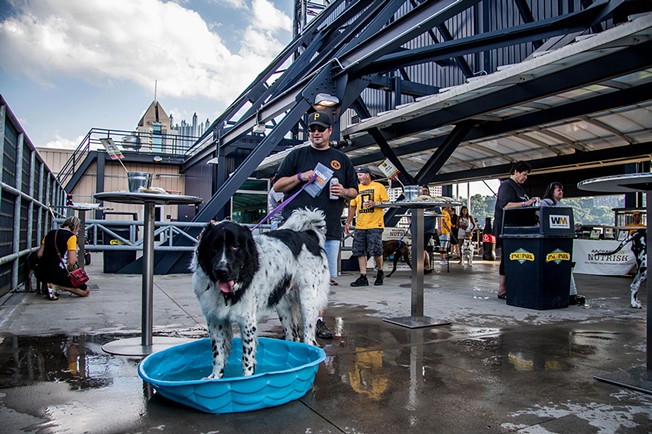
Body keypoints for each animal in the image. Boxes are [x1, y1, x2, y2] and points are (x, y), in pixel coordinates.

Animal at [191, 209, 328, 378]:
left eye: (235, 246)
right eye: (214, 247)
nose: (221, 271)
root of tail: (307, 235)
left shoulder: (247, 321)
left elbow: (247, 358)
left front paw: (246, 380)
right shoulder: (215, 319)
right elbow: (218, 354)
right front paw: (215, 378)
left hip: (307, 301)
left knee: (309, 339)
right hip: (283, 306)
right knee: (292, 336)